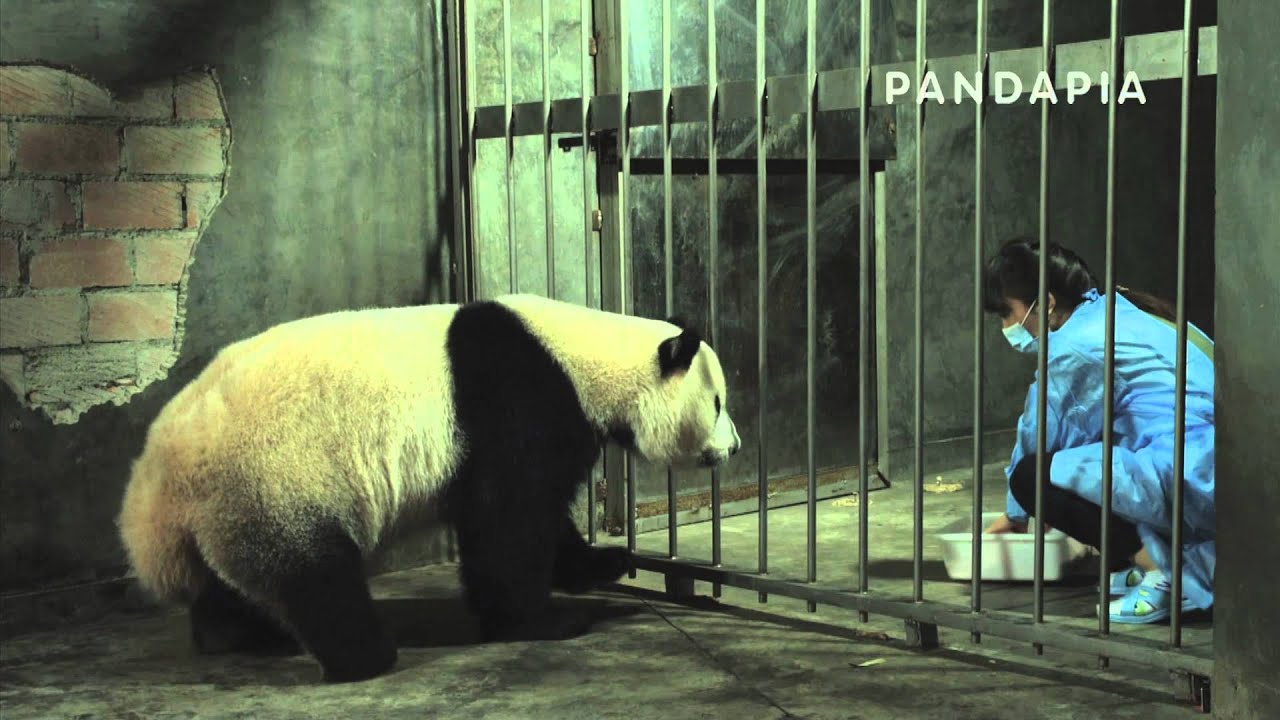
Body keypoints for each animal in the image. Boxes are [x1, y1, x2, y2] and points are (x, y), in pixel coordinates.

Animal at [117, 293, 740, 683]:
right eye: (716, 403)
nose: (733, 448)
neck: (583, 354)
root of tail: (153, 490)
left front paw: (604, 562)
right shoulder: (517, 401)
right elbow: (511, 519)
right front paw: (547, 621)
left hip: (223, 511)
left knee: (228, 582)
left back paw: (235, 634)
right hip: (272, 479)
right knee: (313, 575)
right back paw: (364, 655)